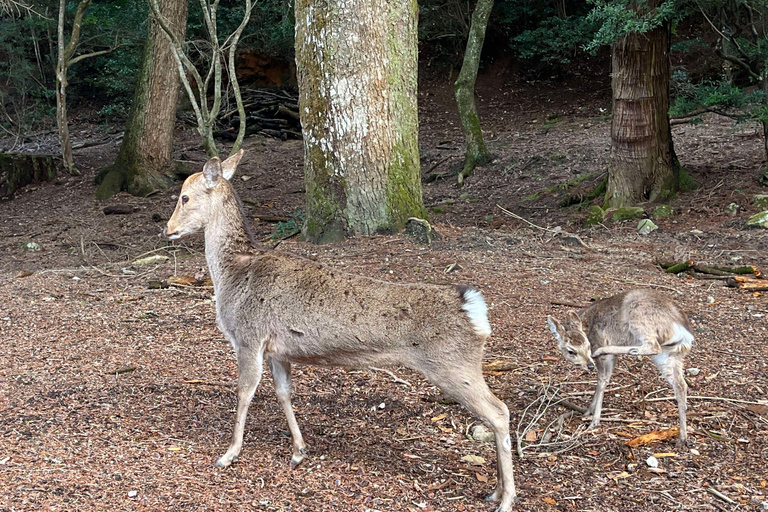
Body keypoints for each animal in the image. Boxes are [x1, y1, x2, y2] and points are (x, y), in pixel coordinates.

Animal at [166, 150, 520, 510]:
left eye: (185, 197)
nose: (168, 230)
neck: (232, 273)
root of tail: (474, 309)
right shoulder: (278, 350)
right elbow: (283, 392)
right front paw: (298, 451)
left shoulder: (248, 337)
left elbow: (244, 392)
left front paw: (228, 454)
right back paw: (494, 490)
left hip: (452, 365)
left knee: (499, 412)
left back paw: (506, 498)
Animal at [544, 290, 696, 446]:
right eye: (571, 351)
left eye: (587, 345)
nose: (590, 365)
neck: (588, 327)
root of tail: (684, 332)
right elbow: (603, 379)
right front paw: (588, 411)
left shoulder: (602, 347)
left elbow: (603, 380)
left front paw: (594, 421)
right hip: (670, 355)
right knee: (680, 384)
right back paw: (682, 437)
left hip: (639, 316)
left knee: (652, 346)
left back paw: (609, 350)